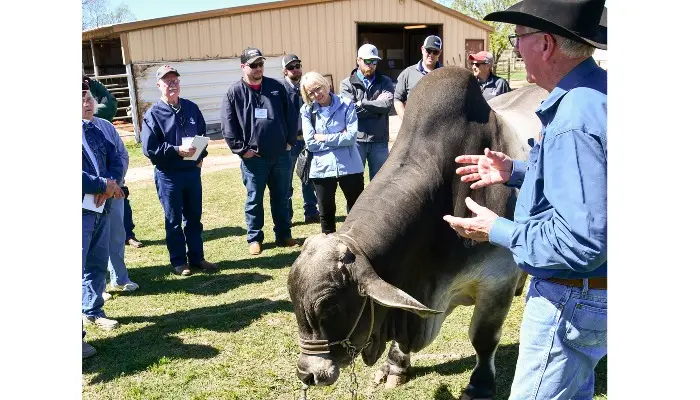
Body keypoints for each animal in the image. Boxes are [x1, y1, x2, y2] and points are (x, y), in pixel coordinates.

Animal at [287, 66, 548, 400]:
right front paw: (395, 367)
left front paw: (479, 385)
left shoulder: (497, 281)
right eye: (293, 300)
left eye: (330, 306)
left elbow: (483, 338)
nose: (307, 374)